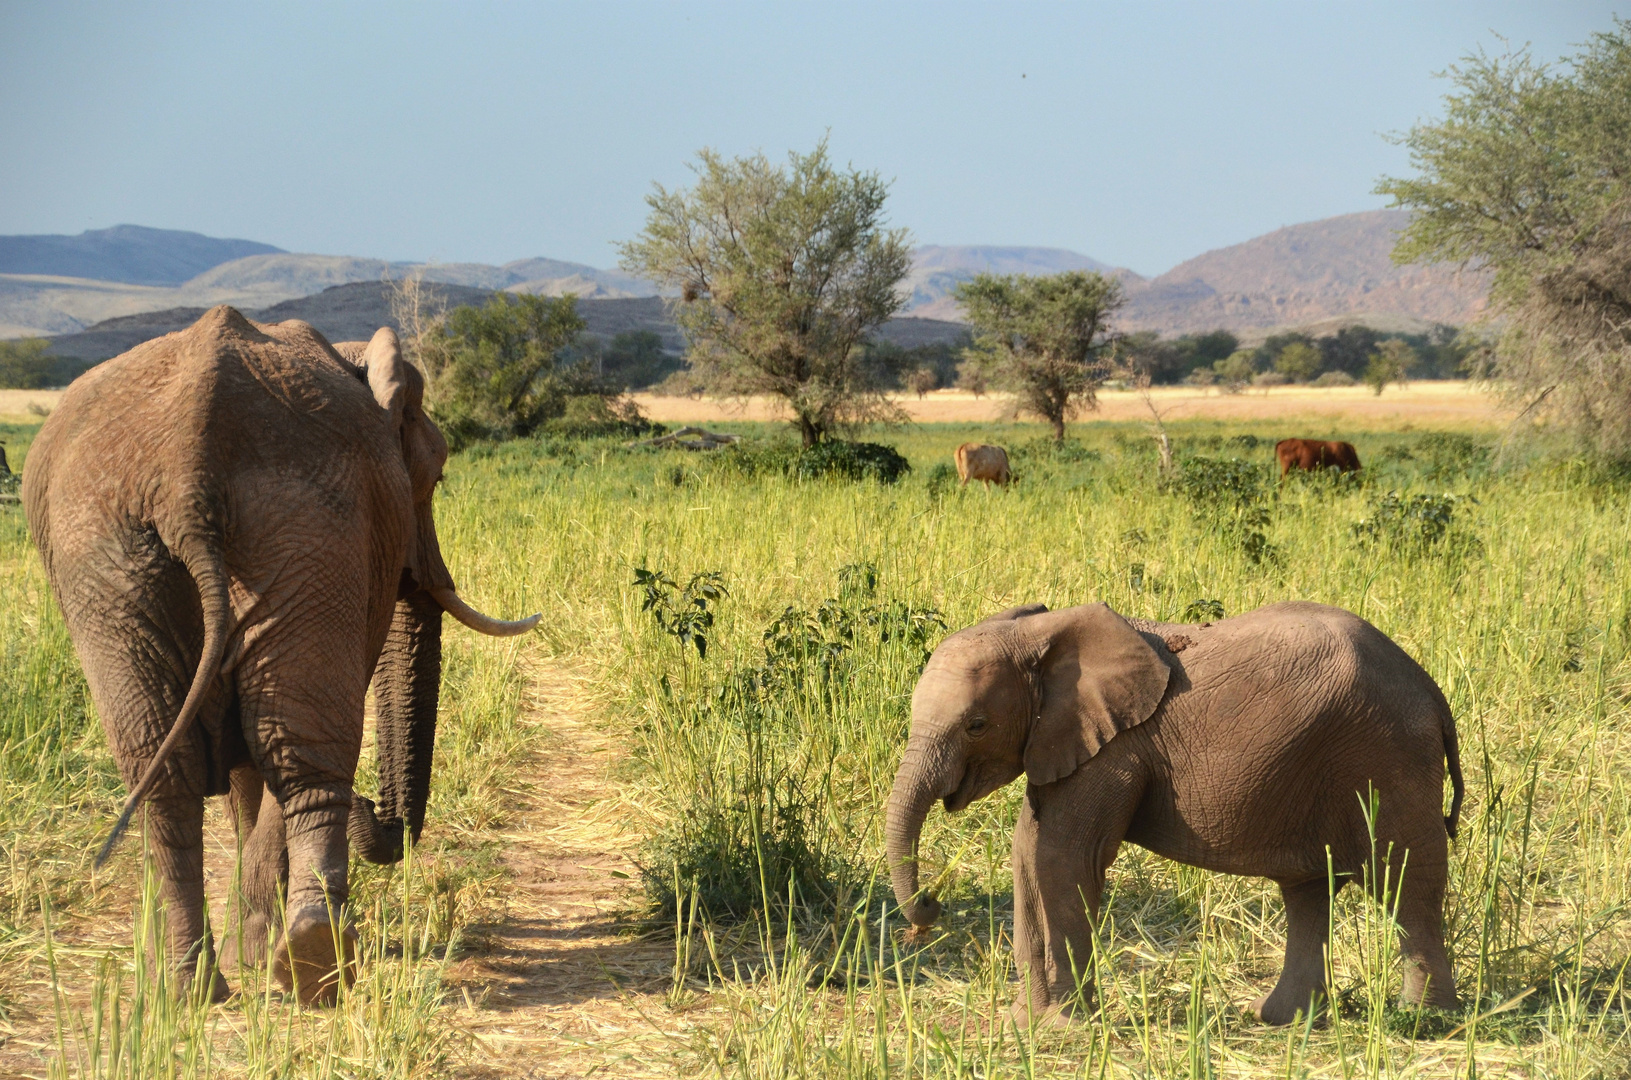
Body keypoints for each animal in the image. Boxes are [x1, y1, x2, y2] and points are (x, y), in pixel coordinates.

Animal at [23, 305, 534, 1004]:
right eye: (435, 479)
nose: (372, 810)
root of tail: (188, 472)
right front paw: (260, 950)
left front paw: (251, 951)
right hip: (279, 533)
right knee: (298, 747)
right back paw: (311, 966)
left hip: (117, 551)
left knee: (170, 767)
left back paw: (192, 989)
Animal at [893, 603, 1467, 1031]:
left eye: (976, 725)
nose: (930, 907)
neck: (1041, 630)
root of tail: (1432, 693)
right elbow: (1028, 853)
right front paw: (1028, 1025)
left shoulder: (1115, 748)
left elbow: (1062, 857)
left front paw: (1062, 1028)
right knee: (1310, 890)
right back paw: (1280, 1019)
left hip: (1387, 760)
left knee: (1406, 882)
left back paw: (1425, 1022)